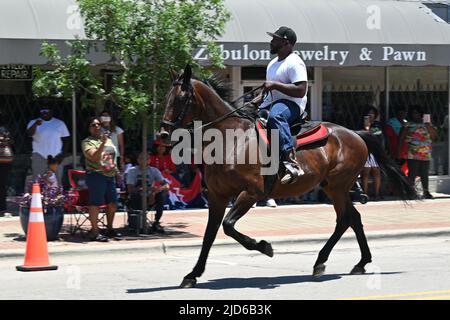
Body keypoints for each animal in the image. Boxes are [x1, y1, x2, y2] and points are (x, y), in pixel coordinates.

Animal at [160, 65, 416, 288]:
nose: (162, 133)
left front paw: (263, 246)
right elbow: (209, 235)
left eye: (181, 98)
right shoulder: (217, 197)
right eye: (166, 97)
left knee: (345, 219)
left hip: (338, 186)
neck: (231, 139)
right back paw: (358, 262)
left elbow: (228, 226)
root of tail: (356, 133)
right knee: (353, 218)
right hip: (334, 187)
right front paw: (192, 274)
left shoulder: (251, 193)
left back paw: (323, 261)